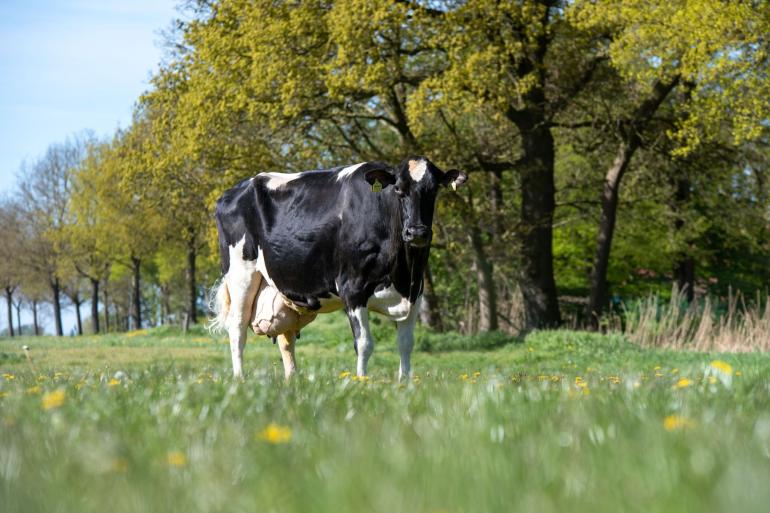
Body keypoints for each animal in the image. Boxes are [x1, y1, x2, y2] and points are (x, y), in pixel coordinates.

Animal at [209, 156, 467, 380]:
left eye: (433, 190)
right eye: (398, 190)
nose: (417, 232)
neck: (402, 270)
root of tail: (233, 190)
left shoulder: (416, 292)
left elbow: (405, 344)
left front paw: (404, 384)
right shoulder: (352, 289)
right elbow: (364, 344)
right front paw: (362, 383)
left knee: (285, 338)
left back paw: (292, 380)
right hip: (240, 273)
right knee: (238, 328)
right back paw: (240, 379)